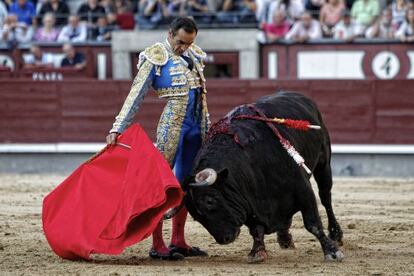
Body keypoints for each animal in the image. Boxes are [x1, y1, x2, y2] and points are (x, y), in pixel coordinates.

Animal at [183, 92, 344, 264]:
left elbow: (312, 223)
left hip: (324, 162)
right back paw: (284, 237)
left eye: (210, 201)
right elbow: (256, 229)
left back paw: (336, 234)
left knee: (325, 197)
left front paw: (332, 251)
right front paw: (257, 252)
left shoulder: (303, 189)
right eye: (195, 216)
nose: (224, 239)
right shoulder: (250, 201)